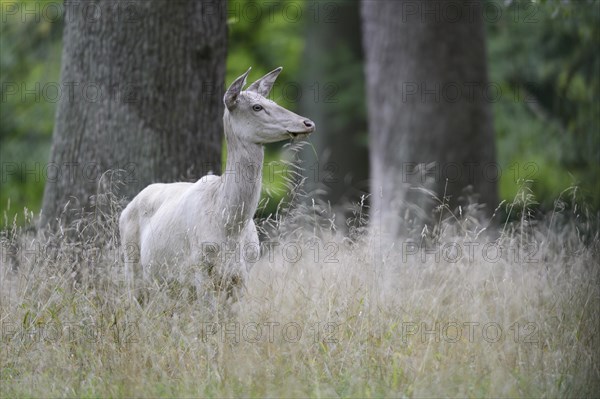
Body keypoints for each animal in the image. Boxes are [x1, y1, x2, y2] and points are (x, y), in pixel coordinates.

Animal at [119, 69, 316, 304]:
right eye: (257, 107)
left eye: (272, 101)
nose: (307, 123)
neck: (229, 226)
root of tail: (125, 210)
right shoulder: (200, 268)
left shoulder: (243, 273)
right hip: (133, 265)